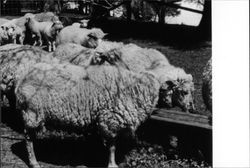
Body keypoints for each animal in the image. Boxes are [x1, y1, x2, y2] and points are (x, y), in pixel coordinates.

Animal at [15, 62, 159, 168]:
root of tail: (24, 76)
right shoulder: (110, 120)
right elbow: (112, 147)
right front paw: (112, 164)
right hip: (32, 113)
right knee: (28, 139)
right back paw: (33, 162)